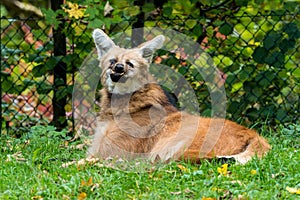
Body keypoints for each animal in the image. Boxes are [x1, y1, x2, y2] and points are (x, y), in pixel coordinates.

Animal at [88, 29, 270, 164]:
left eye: (130, 64)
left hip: (173, 146)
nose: (118, 69)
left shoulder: (107, 153)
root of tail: (254, 135)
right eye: (112, 61)